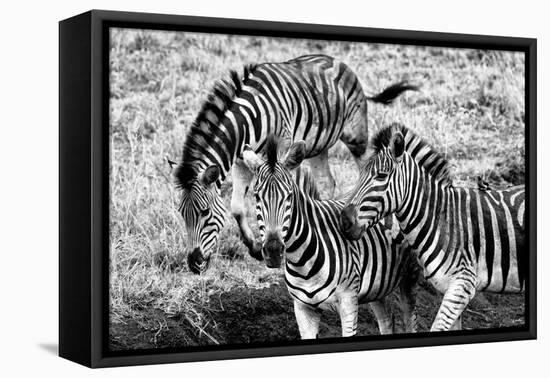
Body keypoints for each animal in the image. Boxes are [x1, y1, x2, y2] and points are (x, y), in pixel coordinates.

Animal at [168, 54, 418, 274]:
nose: (194, 263)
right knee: (327, 182)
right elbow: (237, 207)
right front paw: (255, 247)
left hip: (356, 137)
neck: (246, 122)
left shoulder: (281, 152)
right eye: (182, 213)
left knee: (368, 169)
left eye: (205, 212)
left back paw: (385, 224)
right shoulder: (241, 162)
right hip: (318, 145)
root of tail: (339, 61)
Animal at [244, 136, 420, 340]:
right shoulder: (303, 308)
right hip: (378, 286)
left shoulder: (348, 301)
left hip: (410, 275)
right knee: (387, 320)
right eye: (257, 197)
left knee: (410, 320)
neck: (302, 260)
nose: (273, 251)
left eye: (289, 197)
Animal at [338, 123, 528, 330]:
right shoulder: (450, 287)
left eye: (381, 176)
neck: (441, 219)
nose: (344, 221)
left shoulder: (463, 284)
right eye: (360, 175)